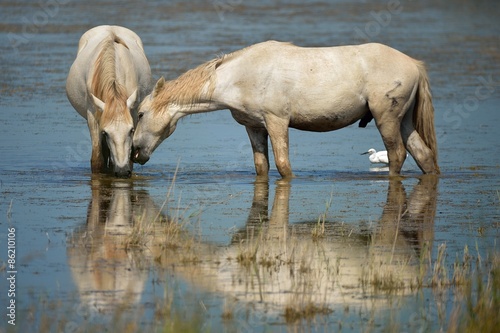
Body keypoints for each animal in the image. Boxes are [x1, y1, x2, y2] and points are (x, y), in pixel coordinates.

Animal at [67, 25, 151, 178]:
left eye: (131, 130)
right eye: (106, 133)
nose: (122, 172)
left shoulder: (133, 113)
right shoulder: (93, 116)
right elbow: (97, 159)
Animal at [132, 40, 438, 178]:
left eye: (140, 113)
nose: (134, 150)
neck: (242, 75)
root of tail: (414, 65)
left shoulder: (276, 122)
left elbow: (283, 165)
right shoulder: (254, 127)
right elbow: (262, 166)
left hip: (387, 119)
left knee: (397, 155)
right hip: (403, 122)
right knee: (423, 156)